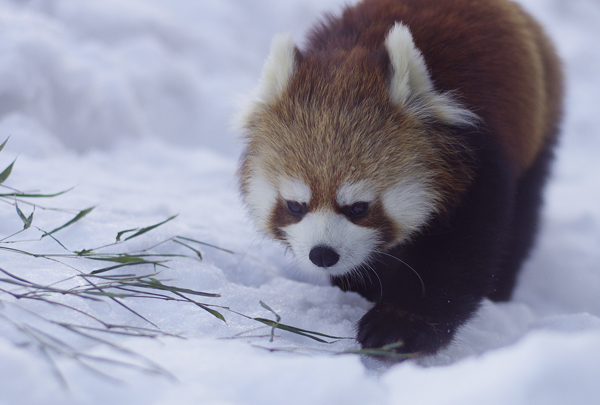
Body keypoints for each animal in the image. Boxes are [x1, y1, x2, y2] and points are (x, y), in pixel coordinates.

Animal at [236, 0, 564, 354]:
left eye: (359, 208)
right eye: (296, 205)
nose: (322, 254)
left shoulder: (480, 162)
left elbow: (457, 256)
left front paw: (399, 325)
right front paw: (361, 286)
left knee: (523, 217)